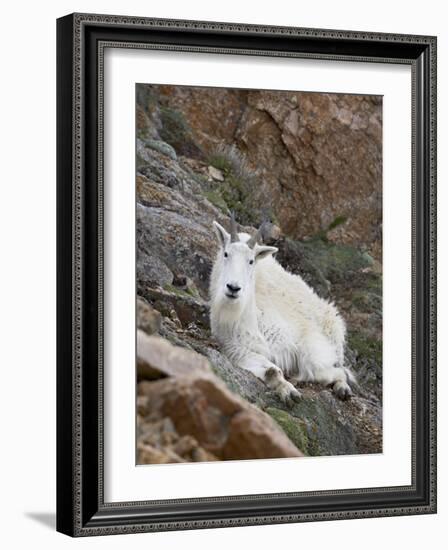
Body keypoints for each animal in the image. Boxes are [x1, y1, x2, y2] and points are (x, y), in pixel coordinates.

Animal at [208, 218, 356, 408]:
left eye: (251, 261)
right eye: (226, 254)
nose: (233, 288)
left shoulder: (304, 343)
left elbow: (316, 367)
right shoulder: (237, 349)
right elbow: (271, 370)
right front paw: (289, 392)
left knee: (338, 370)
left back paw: (342, 389)